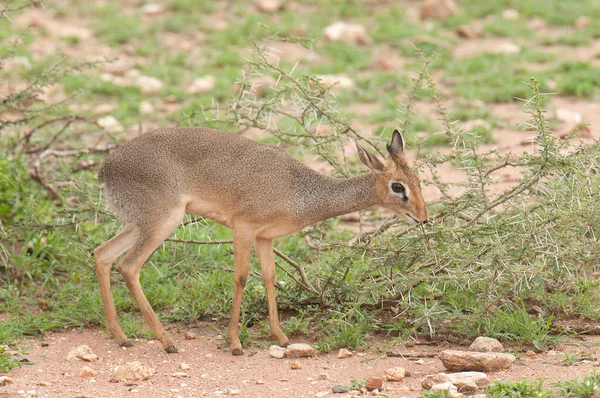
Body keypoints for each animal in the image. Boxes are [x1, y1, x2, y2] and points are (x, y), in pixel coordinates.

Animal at [95, 127, 426, 354]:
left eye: (419, 181)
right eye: (398, 186)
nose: (422, 218)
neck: (299, 192)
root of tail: (106, 167)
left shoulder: (266, 237)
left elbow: (269, 277)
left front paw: (281, 336)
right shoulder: (243, 228)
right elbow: (241, 277)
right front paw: (235, 343)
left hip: (140, 224)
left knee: (102, 254)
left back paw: (122, 337)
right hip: (162, 222)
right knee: (128, 267)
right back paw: (167, 342)